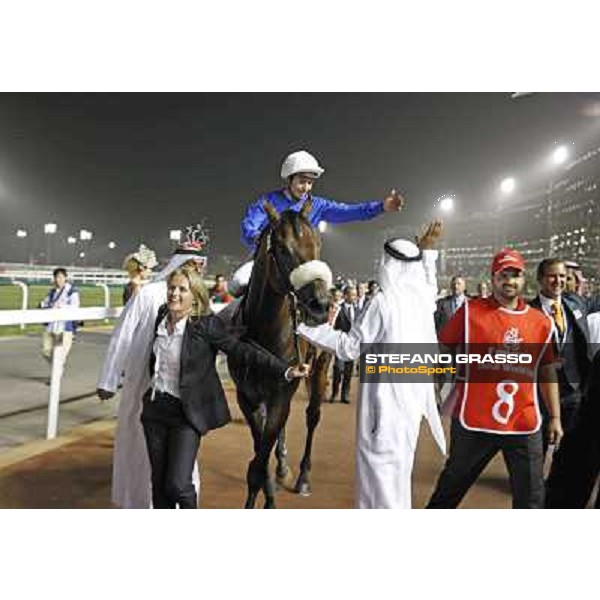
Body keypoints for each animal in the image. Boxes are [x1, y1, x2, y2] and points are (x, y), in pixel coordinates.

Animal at [229, 199, 332, 508]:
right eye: (283, 248)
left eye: (318, 244)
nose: (320, 305)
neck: (264, 330)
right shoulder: (247, 396)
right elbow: (259, 452)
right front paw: (269, 488)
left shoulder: (281, 394)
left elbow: (260, 458)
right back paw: (283, 465)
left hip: (319, 367)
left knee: (312, 416)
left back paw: (303, 476)